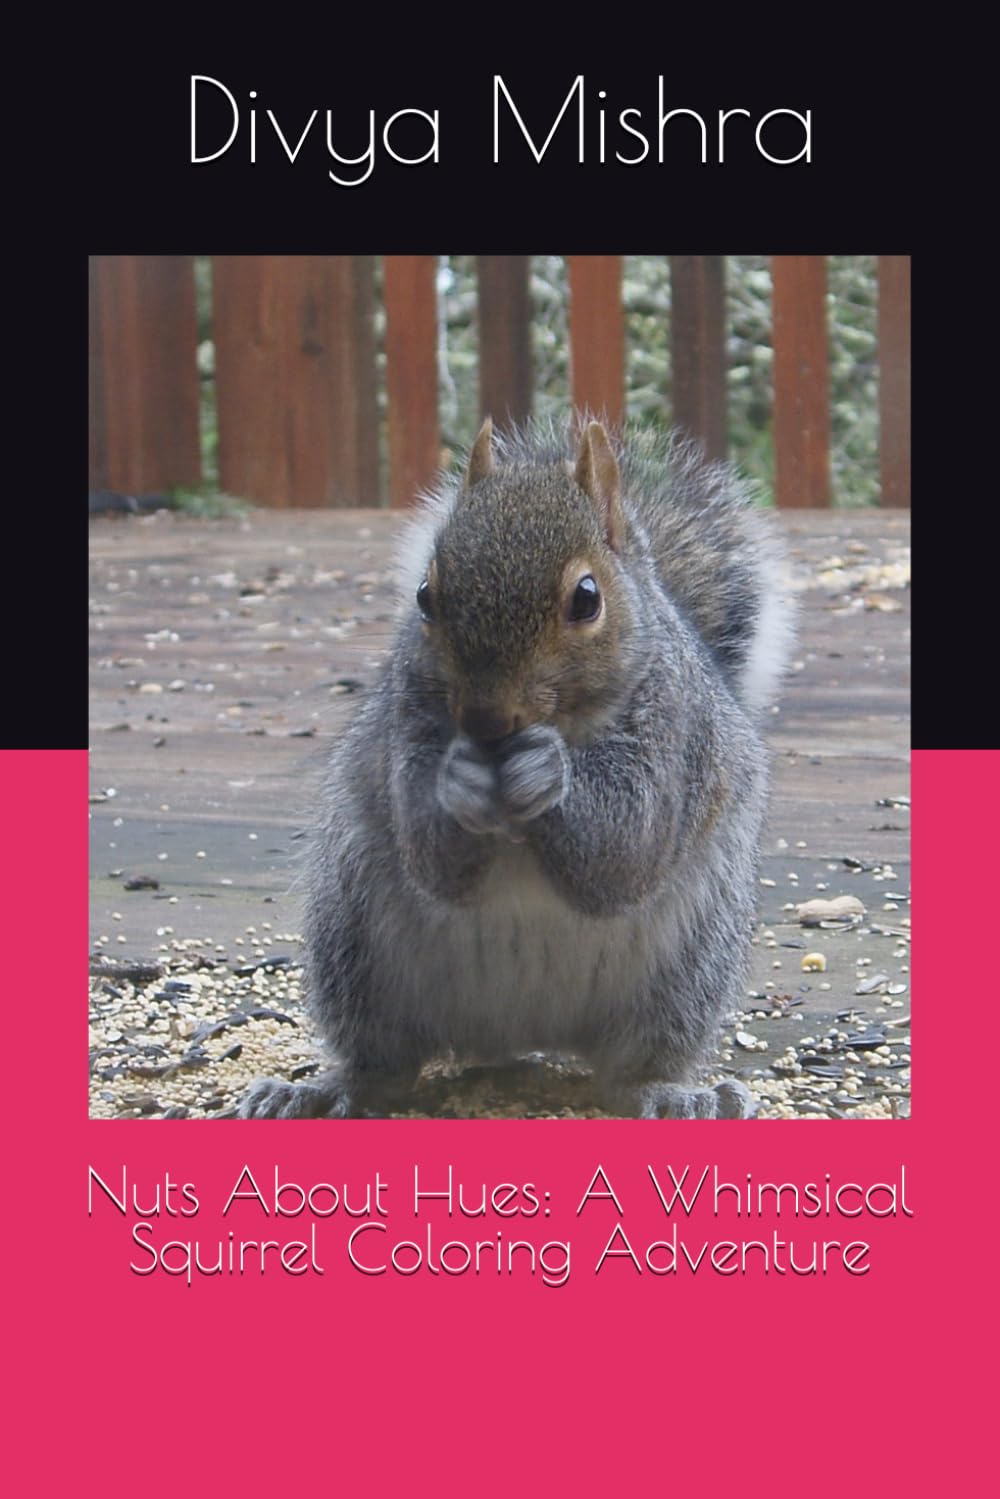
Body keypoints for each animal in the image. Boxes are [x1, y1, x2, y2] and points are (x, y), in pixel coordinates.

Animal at [239, 417, 794, 1119]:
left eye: (586, 599)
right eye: (425, 595)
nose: (484, 720)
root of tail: (519, 1032)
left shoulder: (676, 740)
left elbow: (625, 850)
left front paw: (545, 773)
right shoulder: (406, 726)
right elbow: (430, 854)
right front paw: (458, 782)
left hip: (687, 973)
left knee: (629, 1071)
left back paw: (673, 1095)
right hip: (354, 951)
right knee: (384, 1065)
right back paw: (317, 1090)